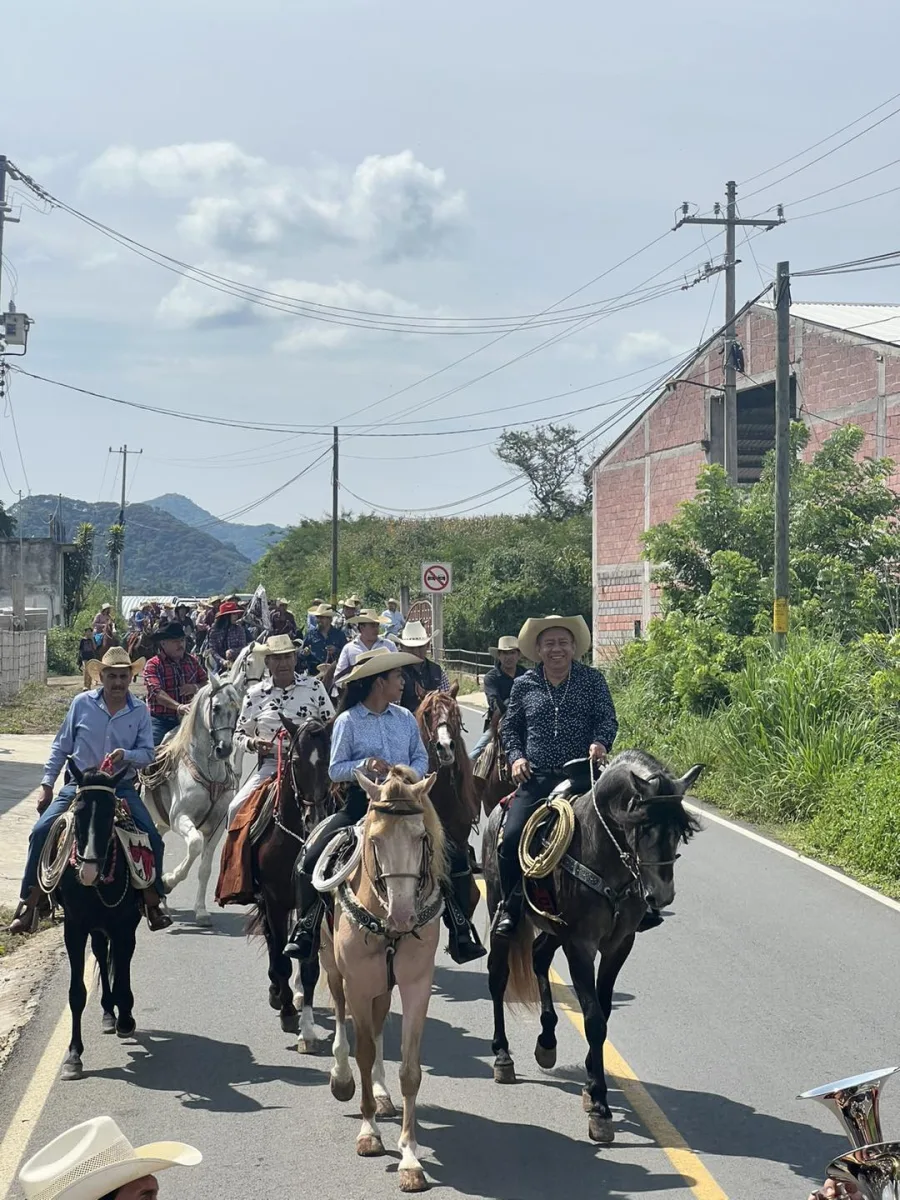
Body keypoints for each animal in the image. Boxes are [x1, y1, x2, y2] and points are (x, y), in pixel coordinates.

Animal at [49, 763, 143, 1084]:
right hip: (96, 928)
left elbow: (124, 972)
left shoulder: (125, 926)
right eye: (77, 812)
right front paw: (73, 1056)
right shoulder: (74, 928)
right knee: (102, 954)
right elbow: (77, 993)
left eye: (108, 813)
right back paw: (107, 1013)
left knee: (117, 960)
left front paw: (126, 1018)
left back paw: (118, 1014)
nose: (87, 870)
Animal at [141, 681, 241, 921]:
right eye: (216, 707)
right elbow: (194, 845)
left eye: (237, 710)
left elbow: (205, 868)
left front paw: (201, 910)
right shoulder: (180, 818)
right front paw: (170, 881)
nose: (224, 749)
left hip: (158, 823)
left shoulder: (216, 827)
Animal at [250, 715, 336, 1036]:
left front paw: (303, 1016)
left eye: (328, 760)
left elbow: (309, 963)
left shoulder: (311, 903)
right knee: (273, 942)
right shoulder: (274, 900)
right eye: (296, 762)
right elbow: (279, 955)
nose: (315, 818)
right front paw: (285, 1006)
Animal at [321, 768, 448, 1190]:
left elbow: (409, 1070)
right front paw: (369, 1133)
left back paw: (380, 1093)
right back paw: (342, 1078)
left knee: (376, 1030)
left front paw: (410, 1158)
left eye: (421, 837)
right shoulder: (358, 985)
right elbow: (362, 1053)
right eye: (374, 840)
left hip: (383, 987)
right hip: (333, 968)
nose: (403, 915)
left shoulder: (415, 987)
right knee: (343, 1020)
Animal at [482, 748, 700, 1142]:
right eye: (643, 827)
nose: (661, 895)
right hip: (499, 907)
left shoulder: (619, 944)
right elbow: (594, 1019)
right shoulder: (581, 945)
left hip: (554, 929)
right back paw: (503, 1055)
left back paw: (547, 1041)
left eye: (678, 832)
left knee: (538, 957)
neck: (601, 851)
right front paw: (599, 1105)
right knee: (498, 976)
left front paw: (589, 1083)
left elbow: (604, 1009)